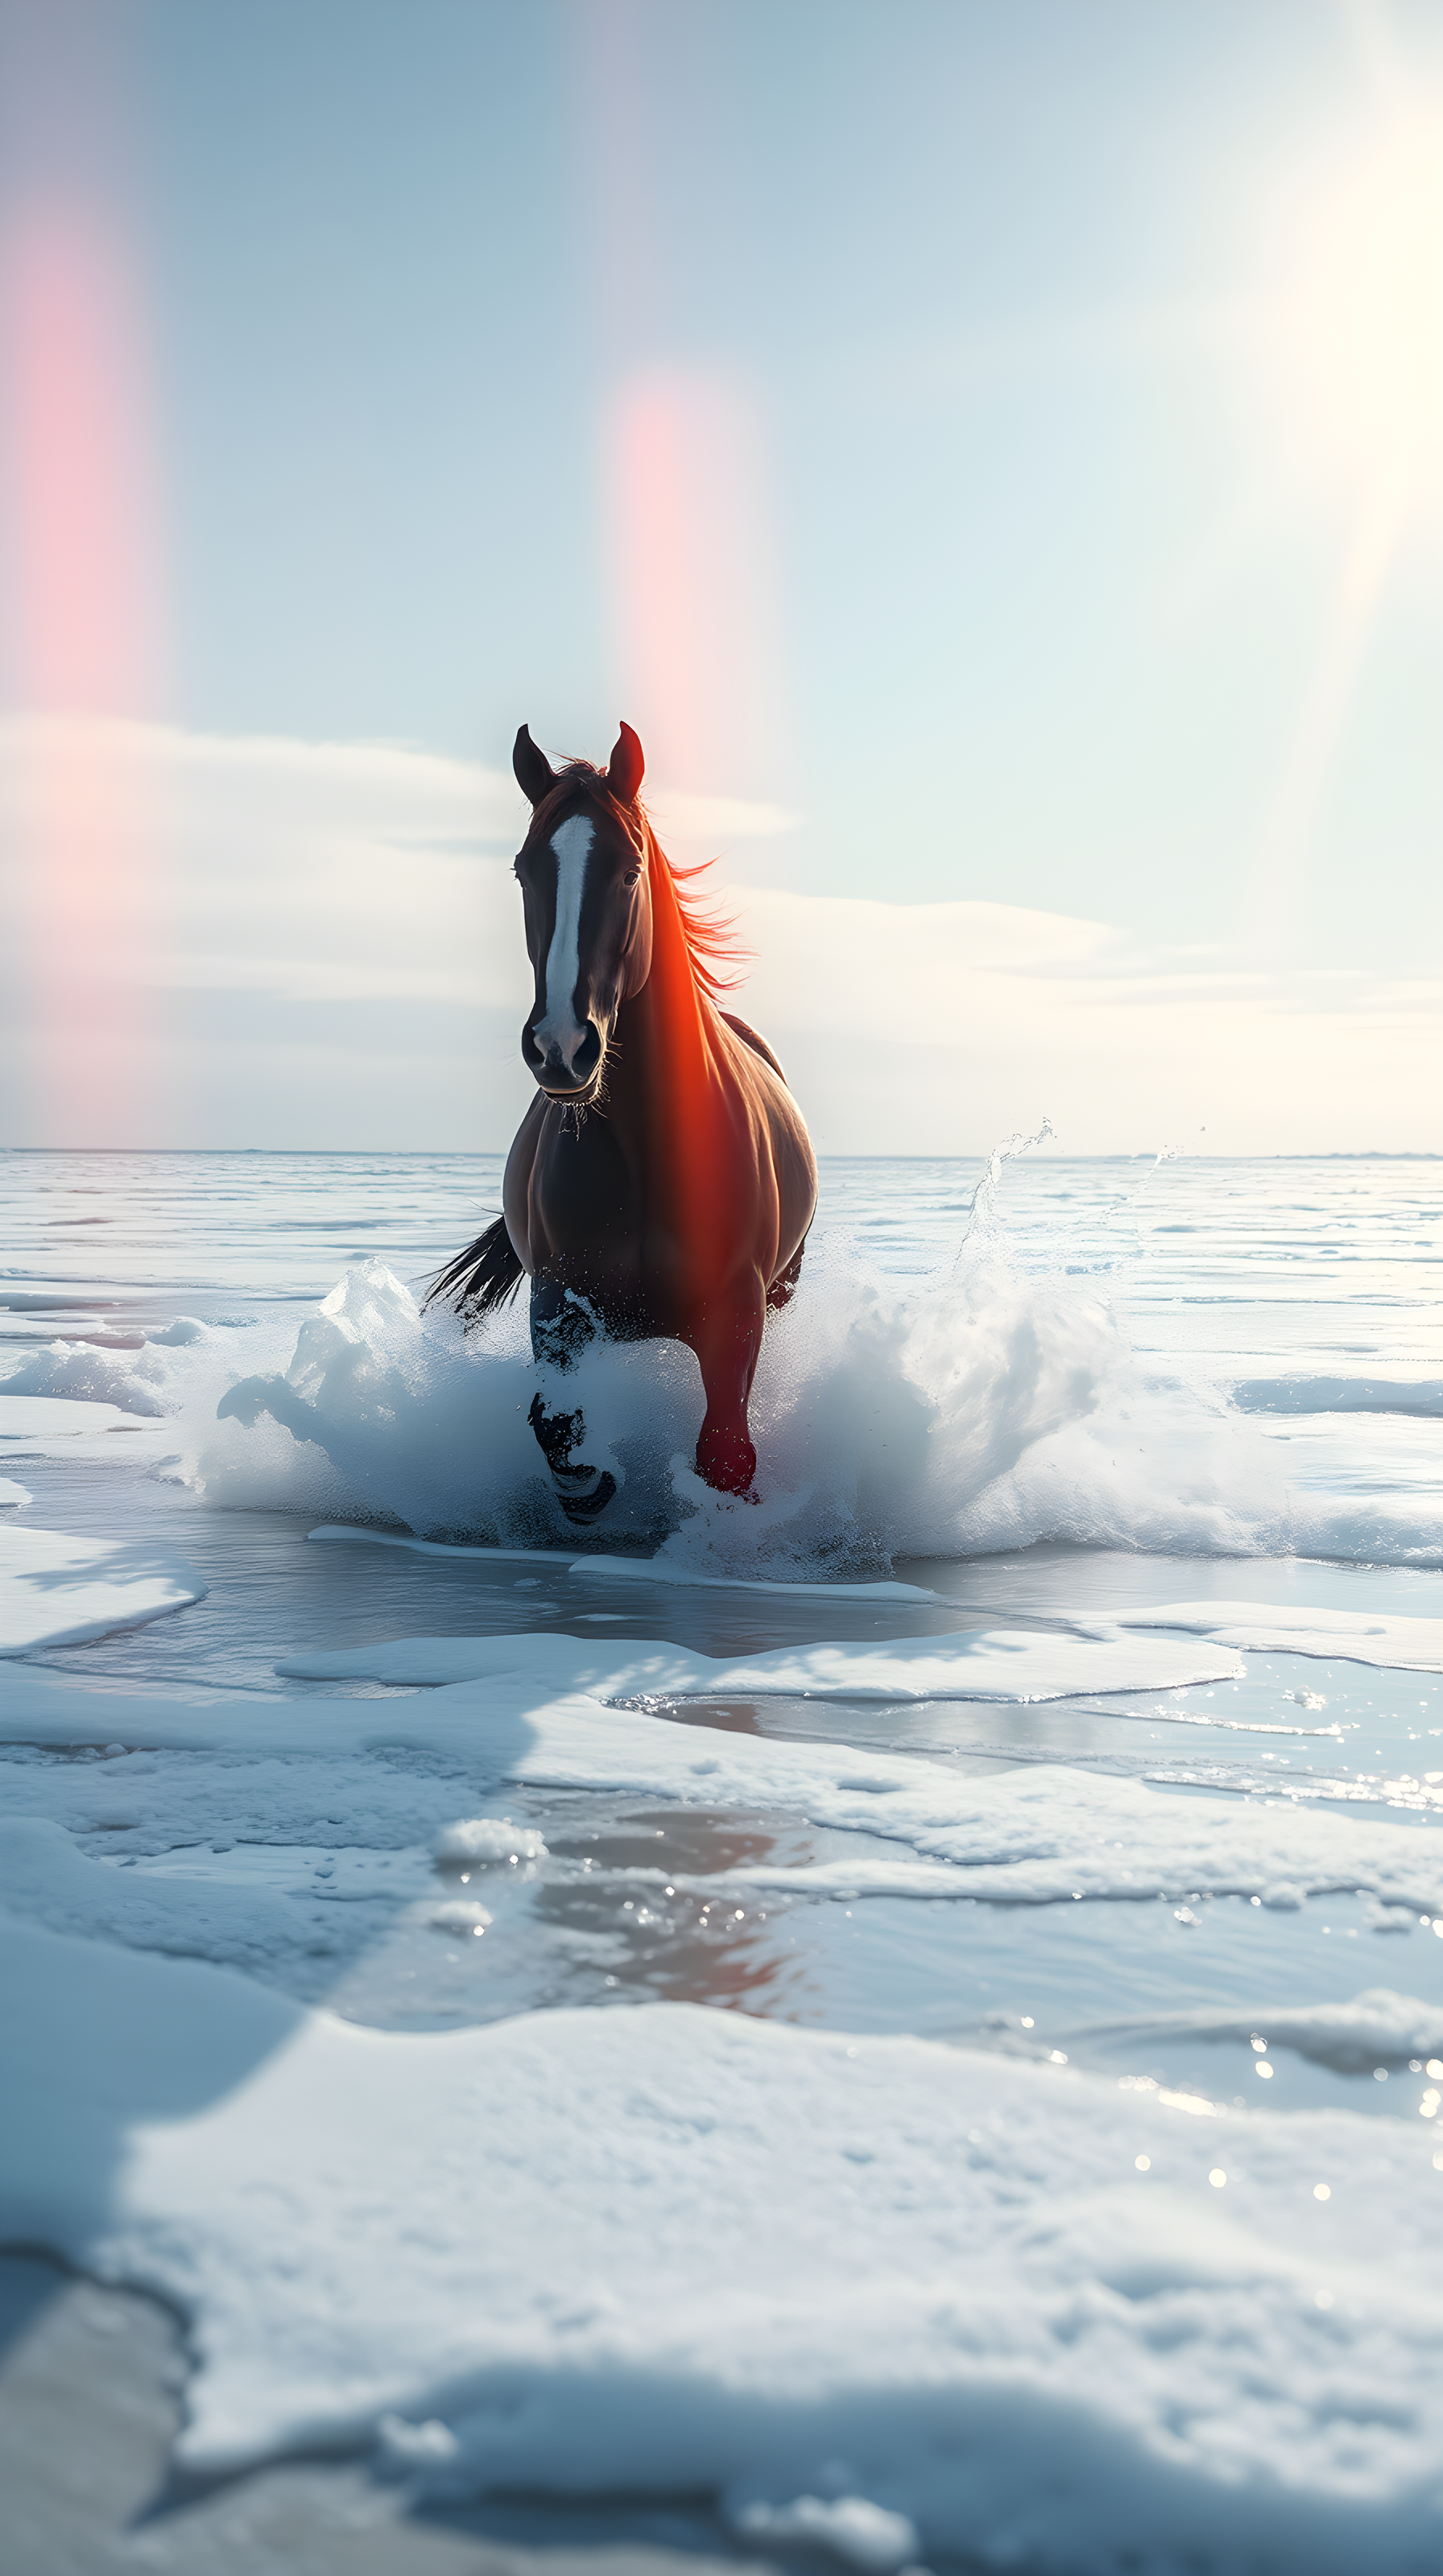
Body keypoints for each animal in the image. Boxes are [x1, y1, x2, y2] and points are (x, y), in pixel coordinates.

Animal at [428, 721, 817, 1524]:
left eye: (629, 872)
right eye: (523, 872)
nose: (561, 1045)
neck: (646, 1150)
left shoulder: (737, 1311)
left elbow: (726, 1452)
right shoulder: (561, 1302)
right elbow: (556, 1428)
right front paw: (595, 1486)